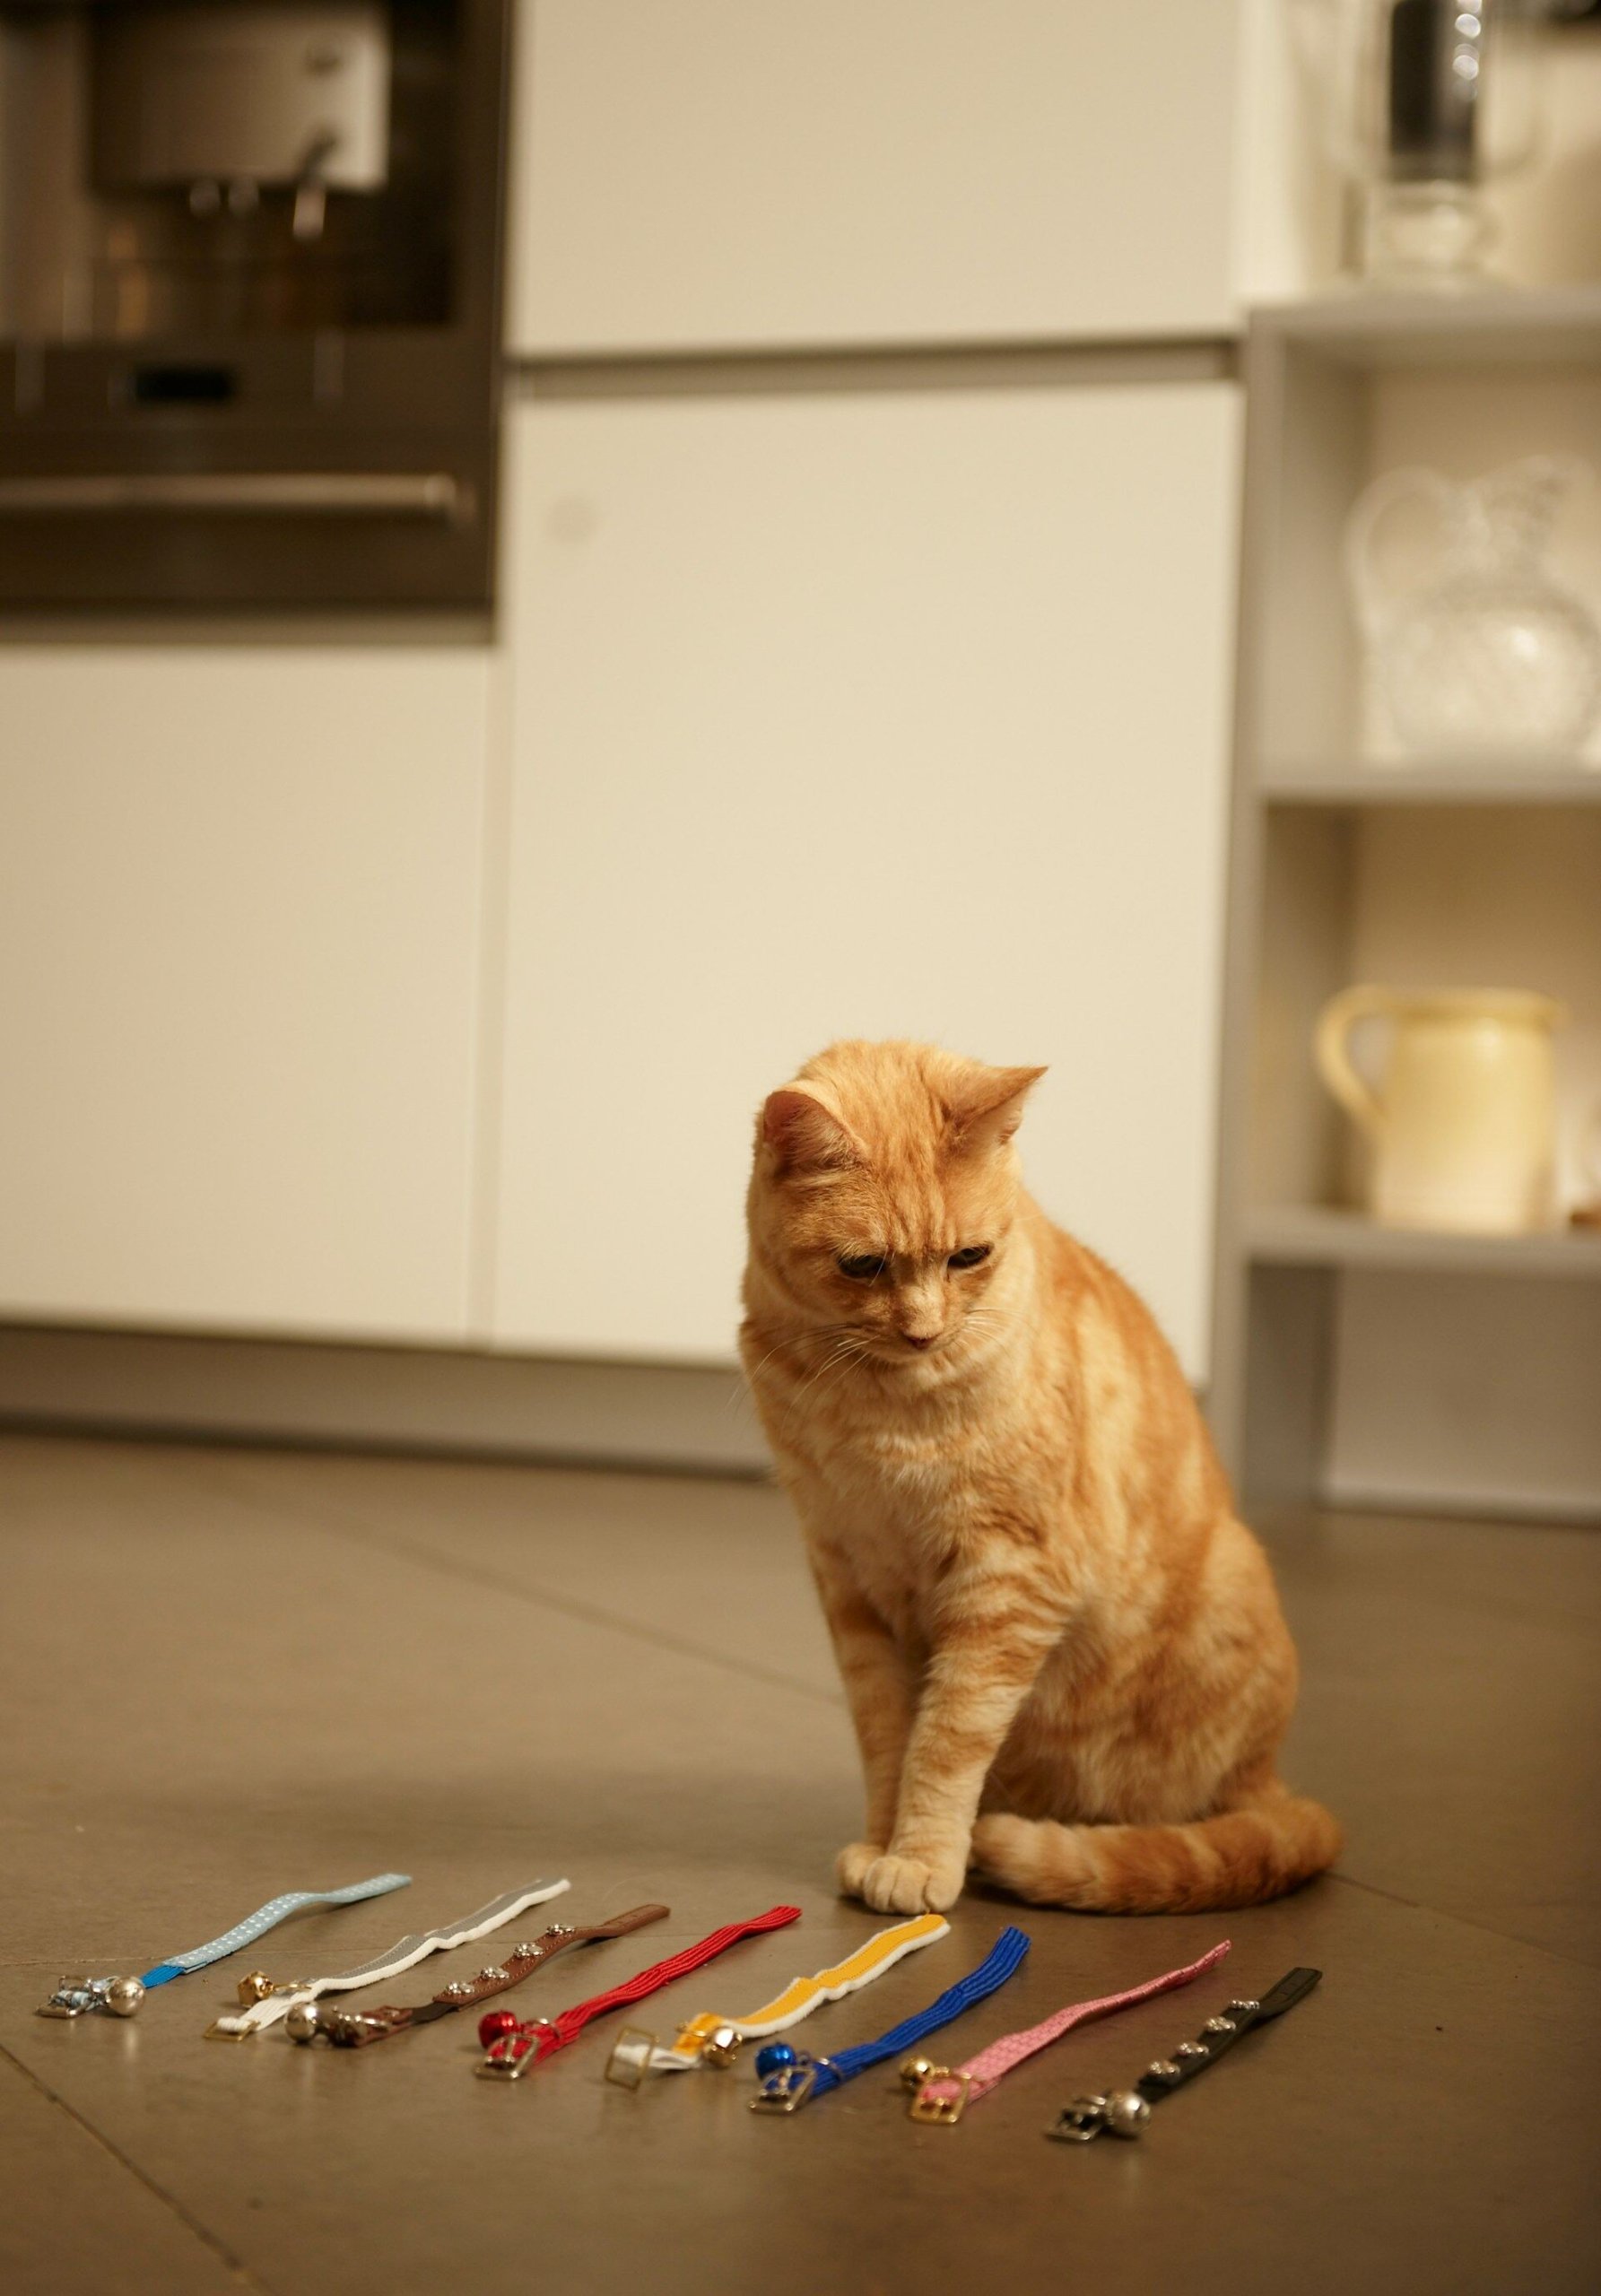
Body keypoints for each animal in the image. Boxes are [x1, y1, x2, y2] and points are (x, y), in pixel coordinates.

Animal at [735, 1047, 1332, 1919]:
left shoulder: (1010, 1577)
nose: (924, 1330)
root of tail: (1270, 1779)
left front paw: (921, 1859)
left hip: (1227, 1583)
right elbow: (885, 1735)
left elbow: (945, 1740)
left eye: (968, 1257)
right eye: (863, 1266)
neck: (875, 1406)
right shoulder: (848, 1577)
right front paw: (883, 1844)